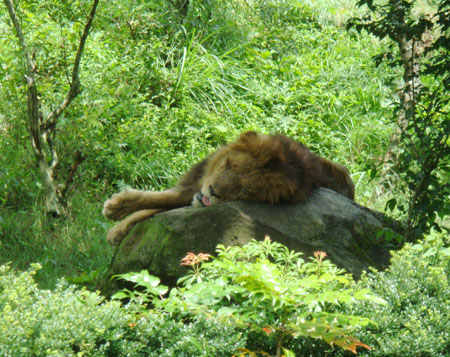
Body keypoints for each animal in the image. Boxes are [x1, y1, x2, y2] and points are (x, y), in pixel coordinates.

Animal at [103, 131, 356, 245]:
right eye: (229, 165)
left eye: (243, 189)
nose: (213, 191)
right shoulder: (195, 185)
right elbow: (157, 200)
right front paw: (117, 212)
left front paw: (116, 225)